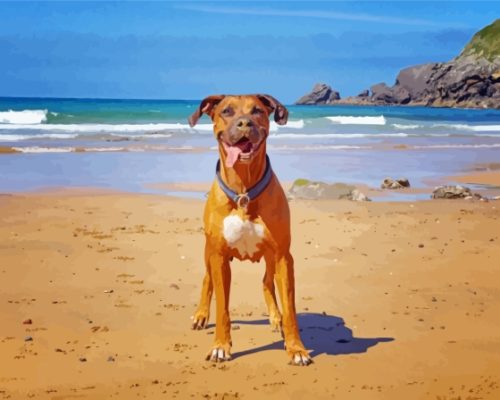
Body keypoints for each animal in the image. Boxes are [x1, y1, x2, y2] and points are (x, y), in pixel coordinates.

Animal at [188, 94, 310, 366]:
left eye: (257, 111)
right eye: (227, 111)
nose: (244, 123)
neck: (243, 190)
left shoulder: (283, 256)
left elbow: (290, 309)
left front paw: (296, 348)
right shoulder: (219, 257)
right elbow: (222, 307)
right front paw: (220, 346)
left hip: (271, 258)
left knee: (267, 282)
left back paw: (275, 316)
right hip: (208, 252)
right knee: (206, 280)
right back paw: (201, 314)